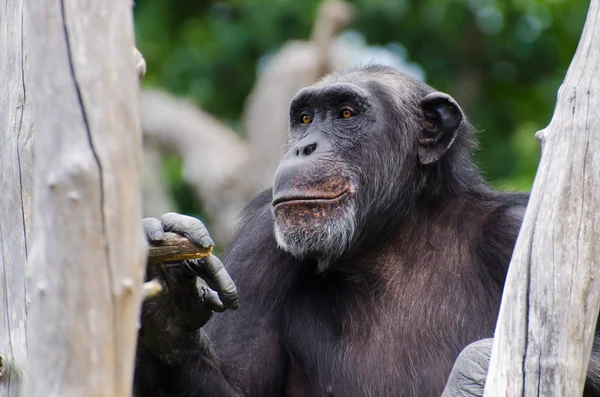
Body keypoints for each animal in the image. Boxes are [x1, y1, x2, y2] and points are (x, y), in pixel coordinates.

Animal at [134, 65, 600, 396]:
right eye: (305, 118)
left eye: (345, 114)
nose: (305, 146)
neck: (393, 238)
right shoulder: (261, 244)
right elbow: (236, 386)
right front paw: (168, 303)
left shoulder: (516, 229)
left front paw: (473, 370)